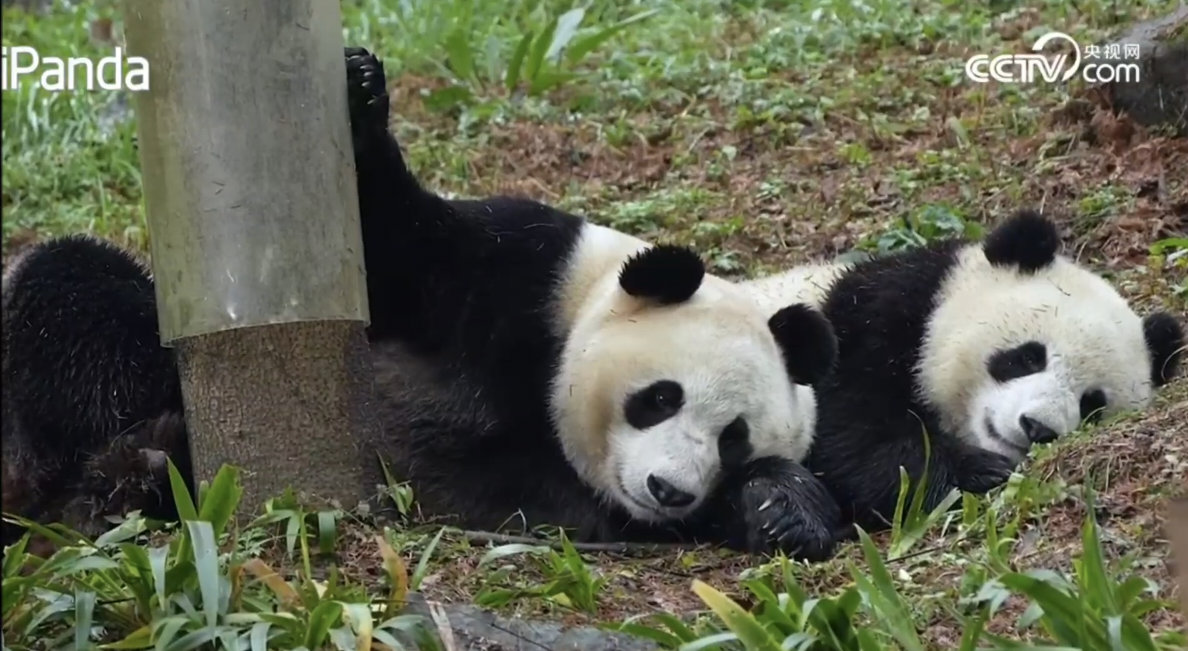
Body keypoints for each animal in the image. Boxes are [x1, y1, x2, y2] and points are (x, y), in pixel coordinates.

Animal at [0, 45, 841, 558]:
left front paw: (783, 506)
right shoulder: (516, 270)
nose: (669, 488)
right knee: (73, 292)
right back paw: (126, 465)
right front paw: (360, 91)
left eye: (734, 437)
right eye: (660, 397)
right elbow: (394, 246)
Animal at [746, 211, 1183, 532]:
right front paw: (980, 472)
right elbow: (856, 438)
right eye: (1029, 357)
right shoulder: (865, 328)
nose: (1037, 428)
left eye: (1092, 404)